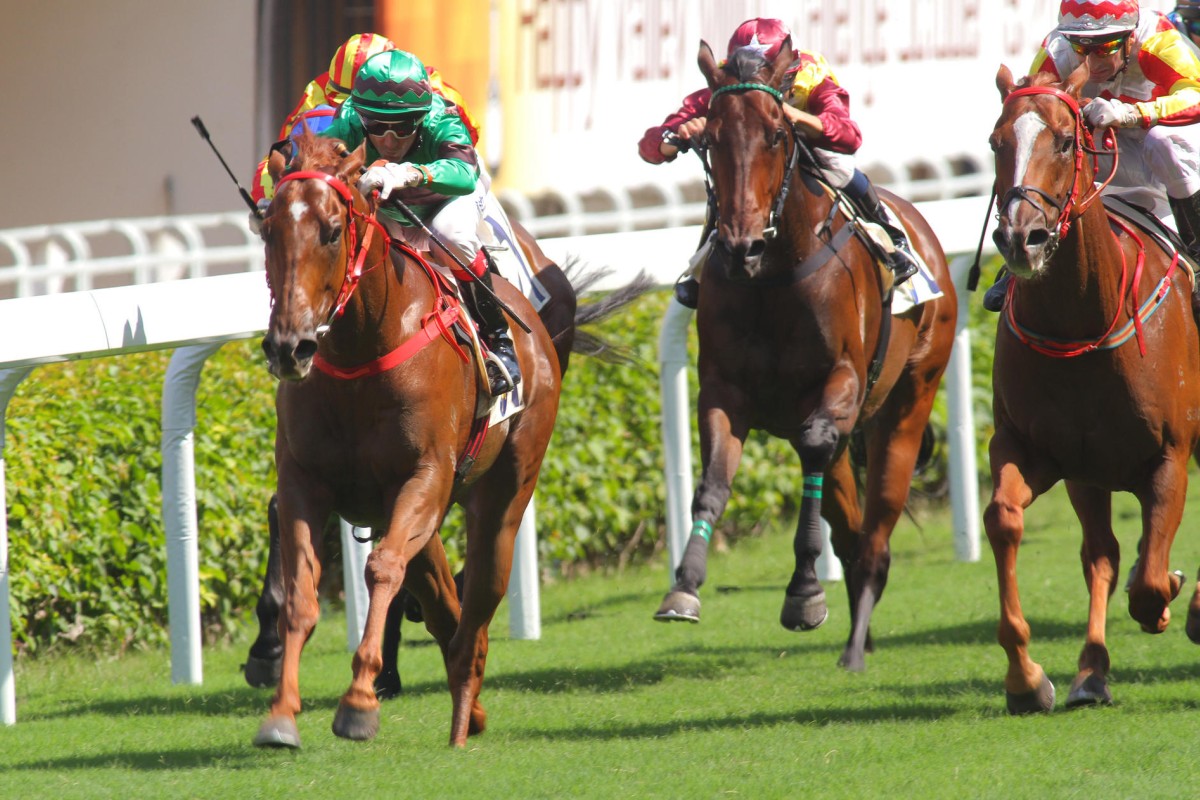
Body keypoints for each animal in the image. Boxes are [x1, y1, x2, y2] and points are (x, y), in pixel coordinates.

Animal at [249, 133, 566, 753]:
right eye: (268, 229)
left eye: (331, 230)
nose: (289, 346)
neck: (362, 348)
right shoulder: (305, 482)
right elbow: (302, 592)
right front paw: (281, 713)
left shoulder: (423, 476)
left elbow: (383, 571)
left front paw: (358, 703)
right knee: (447, 609)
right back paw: (473, 710)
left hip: (503, 493)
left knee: (477, 603)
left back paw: (463, 720)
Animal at [652, 38, 960, 676]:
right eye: (709, 137)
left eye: (776, 134)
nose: (741, 245)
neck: (772, 275)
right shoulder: (723, 389)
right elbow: (712, 483)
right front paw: (684, 587)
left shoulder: (840, 381)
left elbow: (814, 449)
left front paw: (804, 594)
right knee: (852, 530)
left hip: (907, 403)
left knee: (874, 537)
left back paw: (855, 648)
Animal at [984, 64, 1200, 714]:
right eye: (995, 143)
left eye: (1063, 141)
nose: (1021, 238)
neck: (1081, 322)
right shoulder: (1039, 451)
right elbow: (1004, 519)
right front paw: (1026, 678)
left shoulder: (1170, 454)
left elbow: (1151, 580)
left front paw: (1166, 596)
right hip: (1088, 473)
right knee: (1100, 554)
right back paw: (1092, 670)